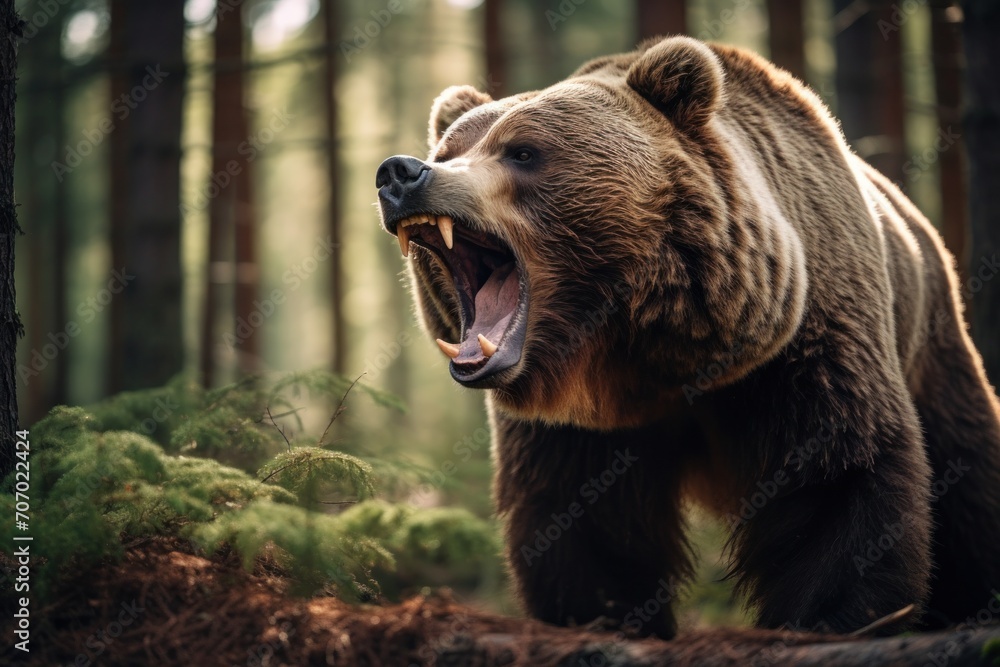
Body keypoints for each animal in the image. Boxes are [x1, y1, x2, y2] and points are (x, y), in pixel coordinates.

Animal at [374, 36, 1000, 638]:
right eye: (448, 150)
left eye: (522, 151)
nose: (401, 173)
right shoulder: (578, 426)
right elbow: (582, 516)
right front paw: (605, 614)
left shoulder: (807, 348)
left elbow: (835, 478)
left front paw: (828, 617)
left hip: (933, 341)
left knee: (969, 476)